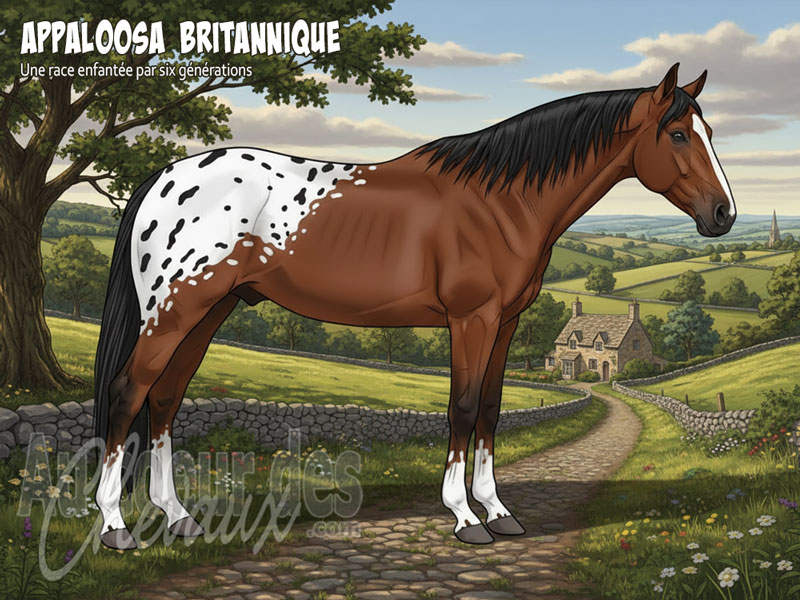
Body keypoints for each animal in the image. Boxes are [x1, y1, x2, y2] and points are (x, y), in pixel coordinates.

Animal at [93, 63, 735, 549]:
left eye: (707, 131)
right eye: (679, 135)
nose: (723, 214)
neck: (501, 201)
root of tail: (162, 178)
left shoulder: (505, 324)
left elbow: (492, 411)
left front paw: (500, 512)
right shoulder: (471, 319)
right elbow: (463, 408)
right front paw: (466, 517)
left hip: (210, 312)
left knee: (166, 400)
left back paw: (179, 517)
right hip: (174, 311)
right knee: (129, 393)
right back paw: (116, 527)